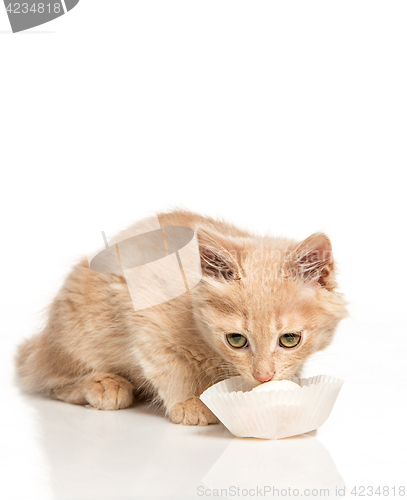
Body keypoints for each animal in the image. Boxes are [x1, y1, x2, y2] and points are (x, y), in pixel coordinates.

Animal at [15, 209, 348, 424]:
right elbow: (171, 368)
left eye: (290, 339)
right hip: (79, 333)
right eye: (236, 340)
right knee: (47, 376)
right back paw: (104, 385)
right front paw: (189, 403)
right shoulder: (144, 317)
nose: (263, 376)